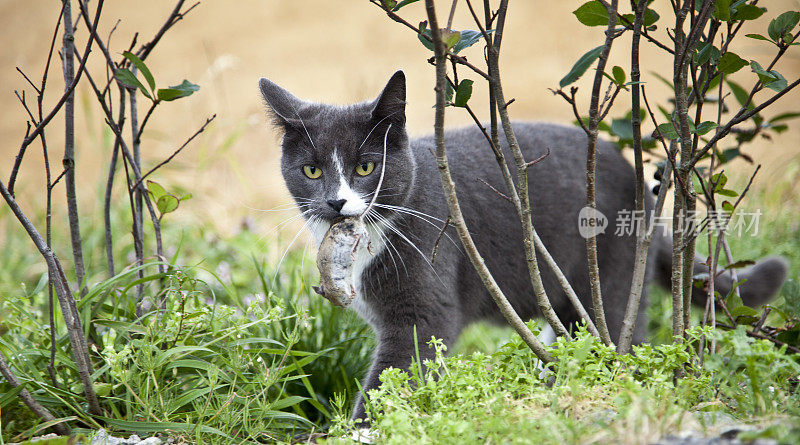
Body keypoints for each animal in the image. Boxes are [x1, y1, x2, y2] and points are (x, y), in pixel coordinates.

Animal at [260, 69, 788, 416]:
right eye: (312, 171)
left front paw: (368, 428)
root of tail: (640, 185)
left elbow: (399, 370)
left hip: (608, 277)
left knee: (621, 335)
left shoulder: (425, 304)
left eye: (367, 167)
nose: (336, 202)